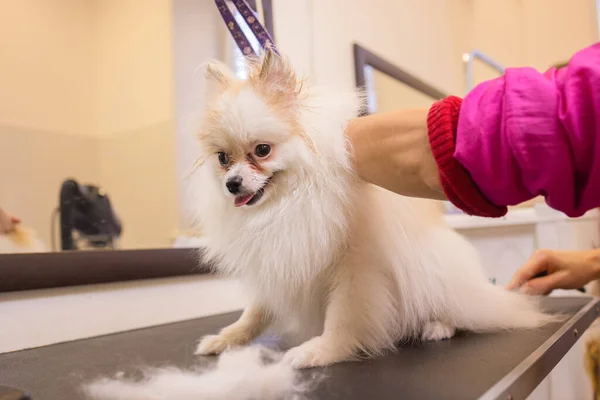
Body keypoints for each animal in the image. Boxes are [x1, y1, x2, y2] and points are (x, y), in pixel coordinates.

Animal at [192, 48, 552, 368]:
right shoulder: (278, 259)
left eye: (262, 150)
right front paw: (228, 337)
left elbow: (343, 316)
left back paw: (438, 326)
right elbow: (254, 311)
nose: (233, 183)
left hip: (433, 270)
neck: (288, 201)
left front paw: (321, 350)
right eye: (223, 158)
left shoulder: (357, 269)